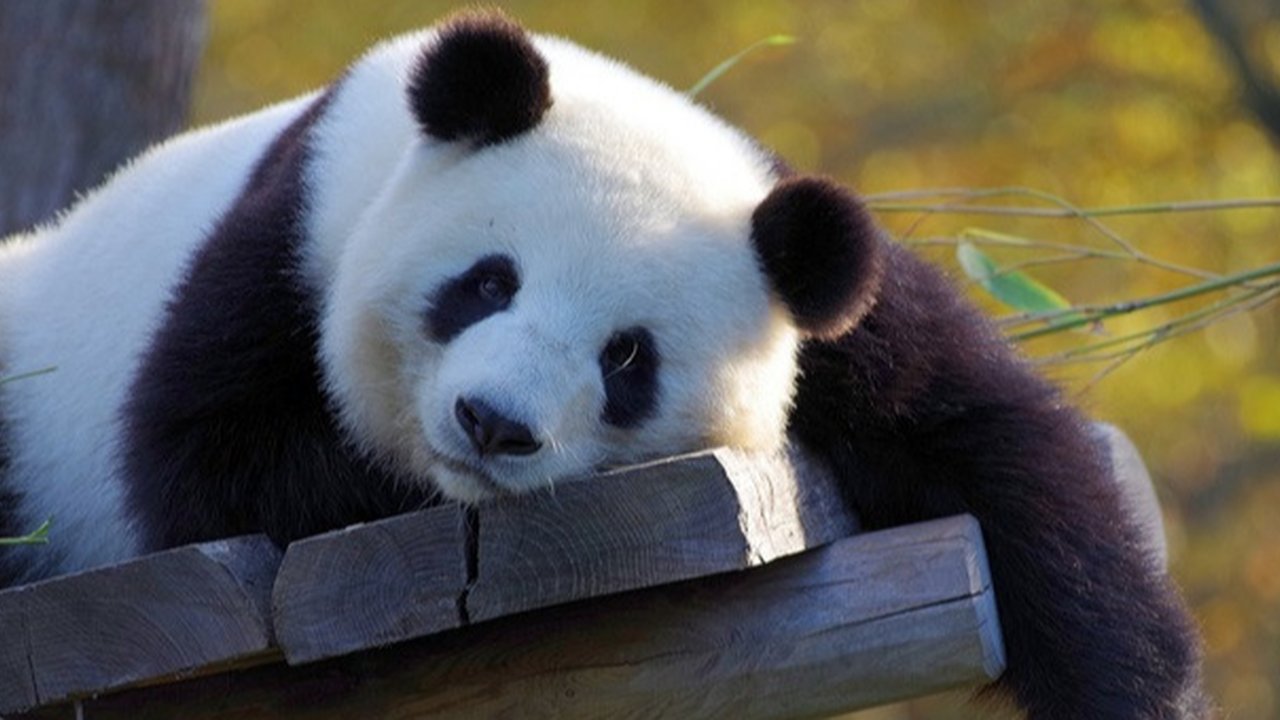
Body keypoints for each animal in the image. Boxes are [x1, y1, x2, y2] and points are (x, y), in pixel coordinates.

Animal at [0, 10, 1206, 719]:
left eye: (628, 357)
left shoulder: (821, 304)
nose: (493, 425)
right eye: (488, 282)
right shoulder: (295, 232)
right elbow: (211, 459)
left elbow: (1001, 456)